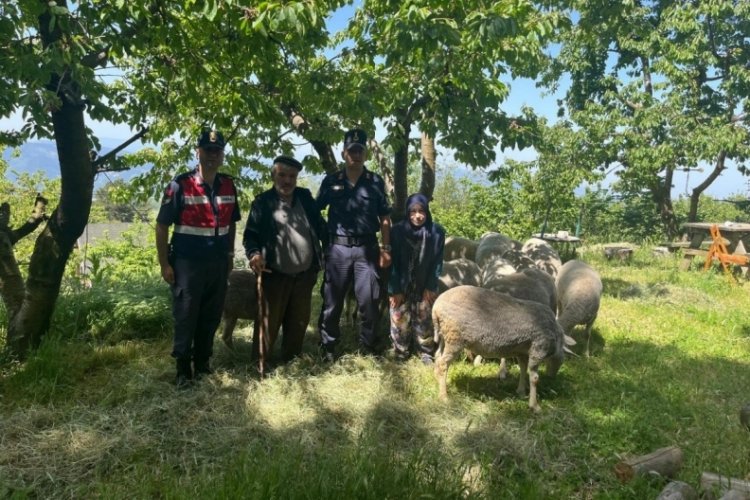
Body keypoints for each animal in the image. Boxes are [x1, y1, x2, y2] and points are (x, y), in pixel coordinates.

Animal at [432, 284, 568, 412]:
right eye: (561, 362)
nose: (552, 378)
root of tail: (436, 307)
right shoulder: (538, 348)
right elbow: (534, 378)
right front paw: (534, 406)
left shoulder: (523, 352)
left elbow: (523, 370)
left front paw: (521, 392)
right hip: (455, 339)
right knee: (443, 364)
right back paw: (444, 397)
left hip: (444, 336)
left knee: (438, 357)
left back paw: (441, 383)